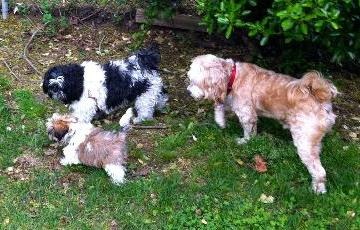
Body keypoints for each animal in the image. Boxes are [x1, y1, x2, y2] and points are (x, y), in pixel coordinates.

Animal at [187, 54, 338, 194]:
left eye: (194, 82)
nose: (188, 91)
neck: (233, 77)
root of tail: (321, 97)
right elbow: (220, 106)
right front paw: (220, 121)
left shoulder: (246, 113)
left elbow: (248, 131)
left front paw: (244, 141)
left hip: (305, 141)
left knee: (319, 170)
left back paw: (318, 189)